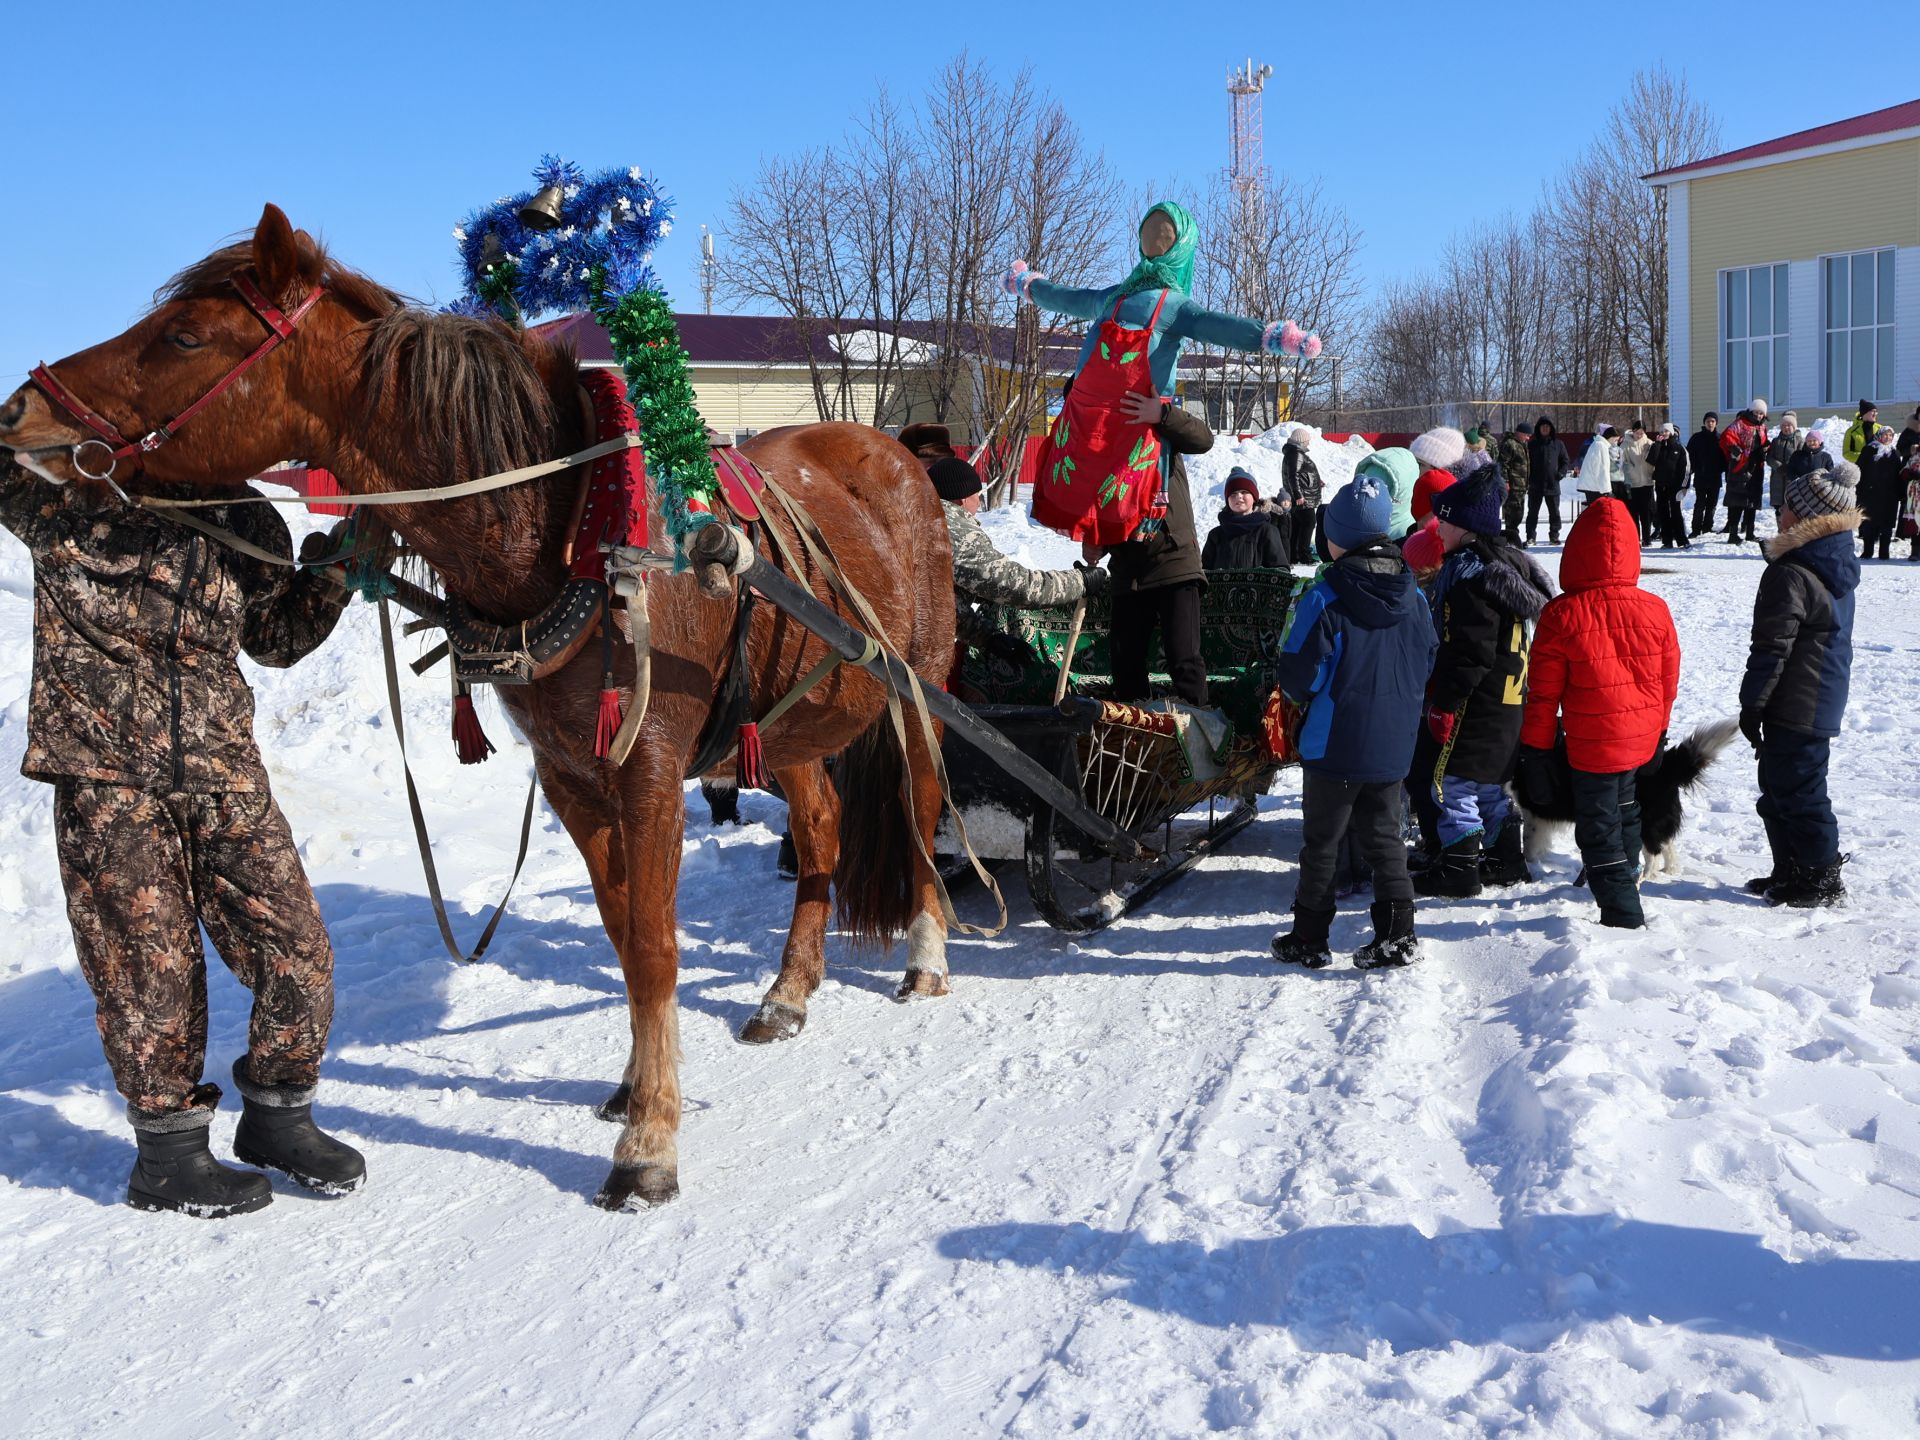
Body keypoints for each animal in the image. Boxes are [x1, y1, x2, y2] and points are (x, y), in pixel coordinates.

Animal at [0, 203, 960, 1213]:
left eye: (184, 336)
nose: (19, 412)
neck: (574, 532)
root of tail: (895, 453)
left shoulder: (651, 770)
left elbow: (655, 947)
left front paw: (651, 1142)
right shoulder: (574, 776)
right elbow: (625, 937)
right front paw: (633, 1087)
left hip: (919, 694)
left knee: (922, 810)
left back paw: (927, 955)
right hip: (786, 730)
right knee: (822, 832)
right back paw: (788, 991)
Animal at [1512, 718, 1743, 879]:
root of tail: (1665, 766)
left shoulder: (1532, 811)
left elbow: (1529, 842)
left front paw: (1531, 864)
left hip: (1644, 820)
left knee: (1653, 852)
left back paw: (1645, 877)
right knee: (1667, 845)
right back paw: (1669, 871)